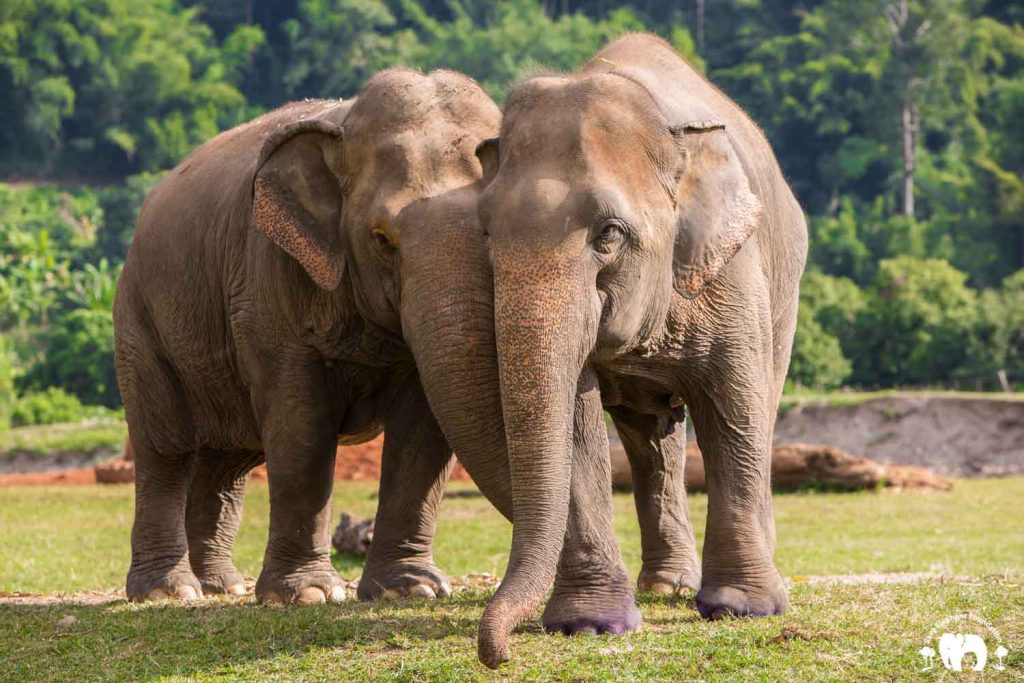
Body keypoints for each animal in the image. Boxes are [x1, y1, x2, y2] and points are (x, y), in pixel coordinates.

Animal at [471, 33, 806, 667]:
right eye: (485, 235)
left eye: (608, 234)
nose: (498, 654)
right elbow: (577, 427)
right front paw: (589, 626)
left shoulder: (732, 269)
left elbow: (735, 409)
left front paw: (743, 610)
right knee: (652, 438)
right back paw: (666, 587)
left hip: (785, 290)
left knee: (758, 406)